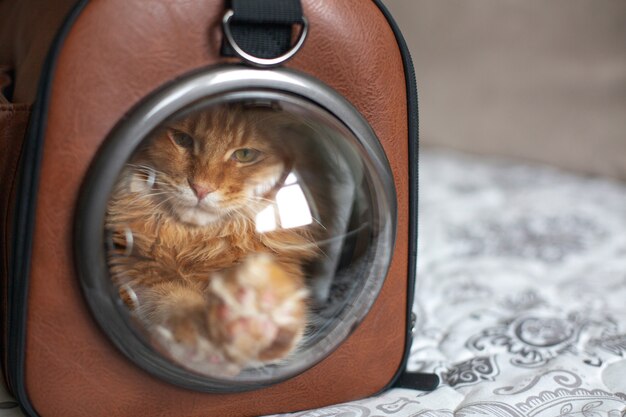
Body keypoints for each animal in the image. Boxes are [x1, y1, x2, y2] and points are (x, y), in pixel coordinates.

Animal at [106, 103, 332, 374]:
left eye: (244, 155)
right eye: (182, 140)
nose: (201, 189)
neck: (197, 242)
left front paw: (251, 317)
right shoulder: (134, 271)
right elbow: (172, 301)